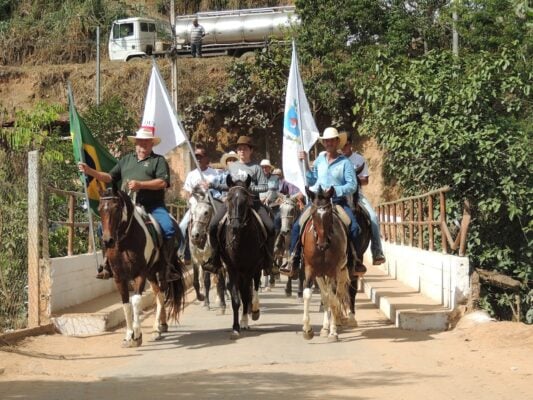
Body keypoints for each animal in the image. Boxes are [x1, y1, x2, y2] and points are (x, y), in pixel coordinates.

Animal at [99, 188, 187, 346]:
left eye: (117, 208)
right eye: (100, 209)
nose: (108, 241)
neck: (125, 242)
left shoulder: (140, 274)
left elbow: (136, 301)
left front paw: (137, 336)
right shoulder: (119, 278)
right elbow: (126, 304)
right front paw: (128, 335)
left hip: (161, 272)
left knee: (161, 295)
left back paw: (157, 329)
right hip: (151, 273)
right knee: (158, 293)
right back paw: (161, 325)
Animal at [218, 174, 264, 338]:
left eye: (246, 201)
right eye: (229, 199)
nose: (235, 226)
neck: (240, 240)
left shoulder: (250, 268)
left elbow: (245, 295)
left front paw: (244, 322)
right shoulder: (232, 268)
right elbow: (235, 298)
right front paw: (235, 327)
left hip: (256, 267)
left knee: (254, 286)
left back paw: (254, 310)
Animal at [302, 187, 352, 340]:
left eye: (329, 213)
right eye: (313, 213)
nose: (322, 244)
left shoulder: (333, 271)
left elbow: (333, 298)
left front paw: (333, 331)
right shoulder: (311, 269)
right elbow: (310, 294)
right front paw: (307, 330)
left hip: (341, 271)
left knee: (337, 294)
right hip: (321, 274)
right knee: (325, 296)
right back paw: (324, 328)